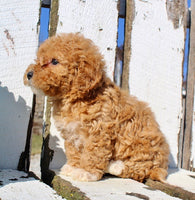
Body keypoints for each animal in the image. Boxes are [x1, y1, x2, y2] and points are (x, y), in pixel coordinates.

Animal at [24, 32, 170, 182]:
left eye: (54, 61)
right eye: (38, 59)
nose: (29, 74)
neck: (75, 99)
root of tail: (162, 166)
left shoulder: (99, 132)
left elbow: (93, 154)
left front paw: (86, 172)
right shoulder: (71, 133)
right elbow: (73, 152)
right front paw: (73, 167)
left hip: (142, 147)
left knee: (139, 170)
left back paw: (115, 166)